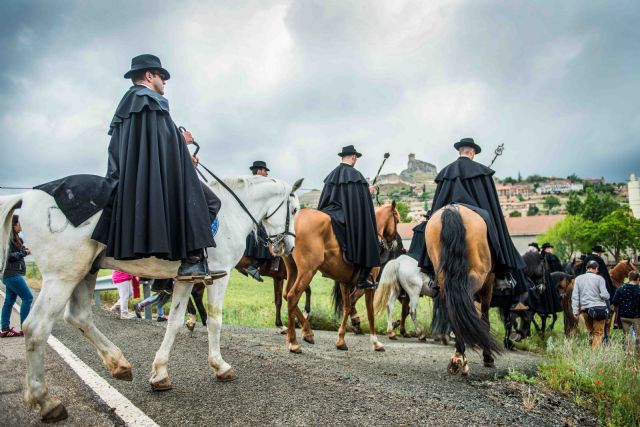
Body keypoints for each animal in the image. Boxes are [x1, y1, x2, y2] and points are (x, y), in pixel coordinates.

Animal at [0, 176, 302, 422]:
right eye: (295, 210)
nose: (289, 247)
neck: (231, 211)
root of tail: (28, 196)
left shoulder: (185, 279)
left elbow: (175, 322)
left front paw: (160, 374)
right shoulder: (220, 275)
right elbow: (215, 322)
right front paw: (221, 366)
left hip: (85, 270)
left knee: (78, 316)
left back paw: (119, 364)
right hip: (63, 275)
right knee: (36, 327)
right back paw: (46, 401)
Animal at [282, 204, 398, 354]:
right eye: (397, 220)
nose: (394, 245)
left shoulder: (345, 283)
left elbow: (347, 307)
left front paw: (341, 341)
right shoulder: (370, 286)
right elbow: (370, 312)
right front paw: (375, 342)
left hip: (293, 270)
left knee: (286, 295)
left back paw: (306, 332)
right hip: (307, 272)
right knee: (292, 297)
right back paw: (294, 342)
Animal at [428, 206, 502, 376]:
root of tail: (452, 209)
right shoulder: (489, 283)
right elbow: (485, 318)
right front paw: (488, 357)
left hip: (443, 280)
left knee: (453, 310)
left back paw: (457, 357)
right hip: (478, 276)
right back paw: (462, 358)